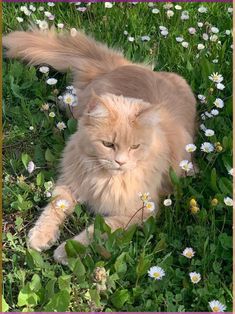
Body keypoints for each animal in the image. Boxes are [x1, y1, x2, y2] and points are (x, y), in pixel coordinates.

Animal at [2, 28, 196, 264]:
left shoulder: (141, 211)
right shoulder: (71, 182)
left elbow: (97, 231)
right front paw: (40, 237)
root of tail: (124, 66)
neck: (106, 179)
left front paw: (66, 250)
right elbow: (54, 208)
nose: (120, 162)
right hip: (79, 108)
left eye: (135, 147)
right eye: (108, 144)